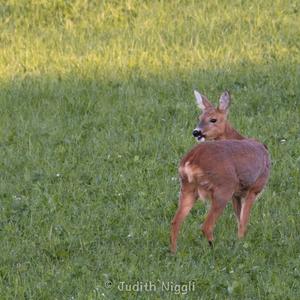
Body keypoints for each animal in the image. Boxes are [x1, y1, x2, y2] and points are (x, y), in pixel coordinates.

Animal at [170, 91, 270, 253]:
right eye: (200, 118)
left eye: (213, 119)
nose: (196, 132)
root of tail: (191, 160)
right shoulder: (254, 188)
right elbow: (244, 221)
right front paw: (242, 242)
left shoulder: (236, 195)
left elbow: (238, 218)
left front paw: (239, 241)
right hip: (223, 188)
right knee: (206, 226)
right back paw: (214, 249)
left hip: (187, 187)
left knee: (175, 222)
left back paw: (174, 252)